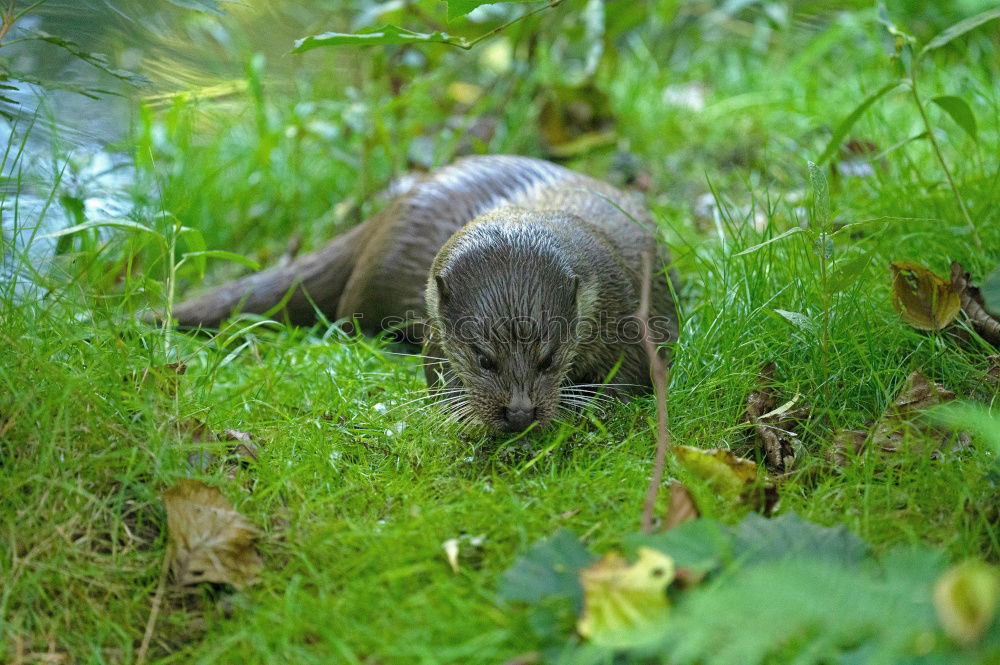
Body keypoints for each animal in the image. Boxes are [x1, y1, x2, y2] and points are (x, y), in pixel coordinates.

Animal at [172, 155, 680, 430]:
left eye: (549, 358)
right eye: (483, 358)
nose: (519, 414)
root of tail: (389, 210)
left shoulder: (630, 312)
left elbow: (637, 375)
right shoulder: (438, 331)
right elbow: (435, 375)